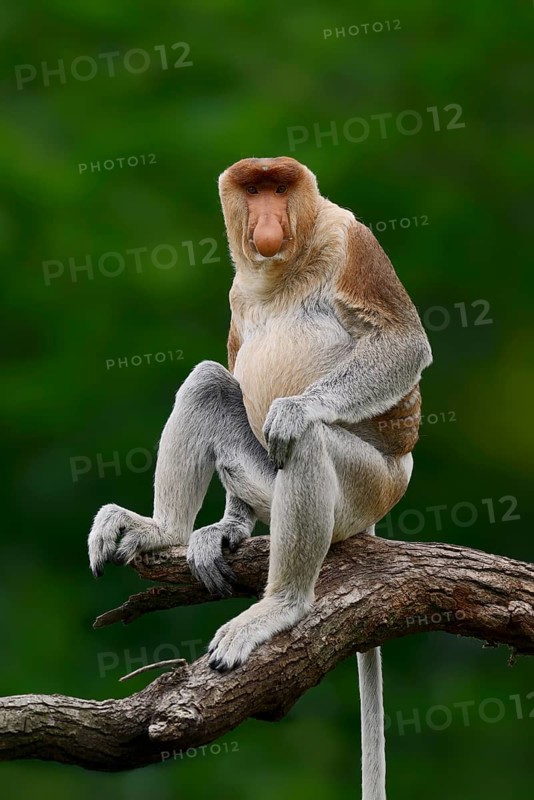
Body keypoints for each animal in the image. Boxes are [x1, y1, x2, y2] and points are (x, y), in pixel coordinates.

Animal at [88, 156, 432, 800]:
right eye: (251, 189)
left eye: (278, 187)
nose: (267, 220)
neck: (282, 271)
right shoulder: (237, 291)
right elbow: (229, 362)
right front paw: (225, 529)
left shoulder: (351, 240)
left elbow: (402, 342)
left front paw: (296, 409)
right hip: (264, 472)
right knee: (207, 380)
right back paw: (165, 531)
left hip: (365, 486)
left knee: (307, 442)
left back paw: (281, 606)